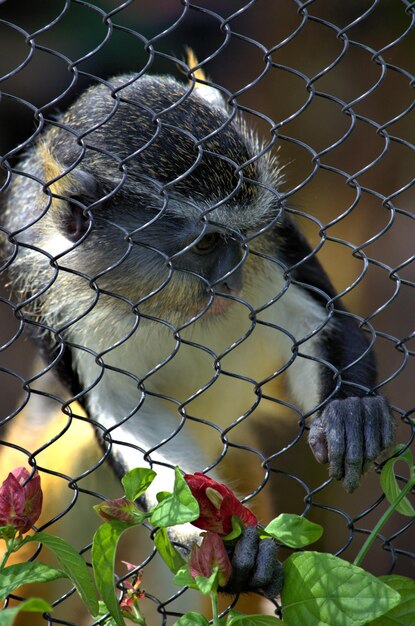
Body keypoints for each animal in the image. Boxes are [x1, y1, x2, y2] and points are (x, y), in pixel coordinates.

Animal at [0, 68, 396, 596]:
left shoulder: (274, 235)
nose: (231, 280)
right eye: (206, 243)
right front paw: (214, 538)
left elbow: (317, 321)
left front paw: (350, 414)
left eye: (243, 235)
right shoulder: (39, 285)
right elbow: (123, 409)